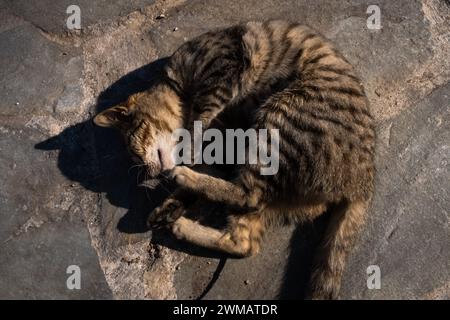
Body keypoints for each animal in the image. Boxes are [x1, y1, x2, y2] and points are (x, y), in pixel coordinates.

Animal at [94, 20, 376, 300]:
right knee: (246, 238)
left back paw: (185, 181)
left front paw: (186, 157)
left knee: (247, 195)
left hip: (277, 119)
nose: (149, 172)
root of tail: (363, 184)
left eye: (134, 146)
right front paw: (168, 206)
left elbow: (199, 122)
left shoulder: (222, 69)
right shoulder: (219, 149)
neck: (179, 88)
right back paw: (183, 224)